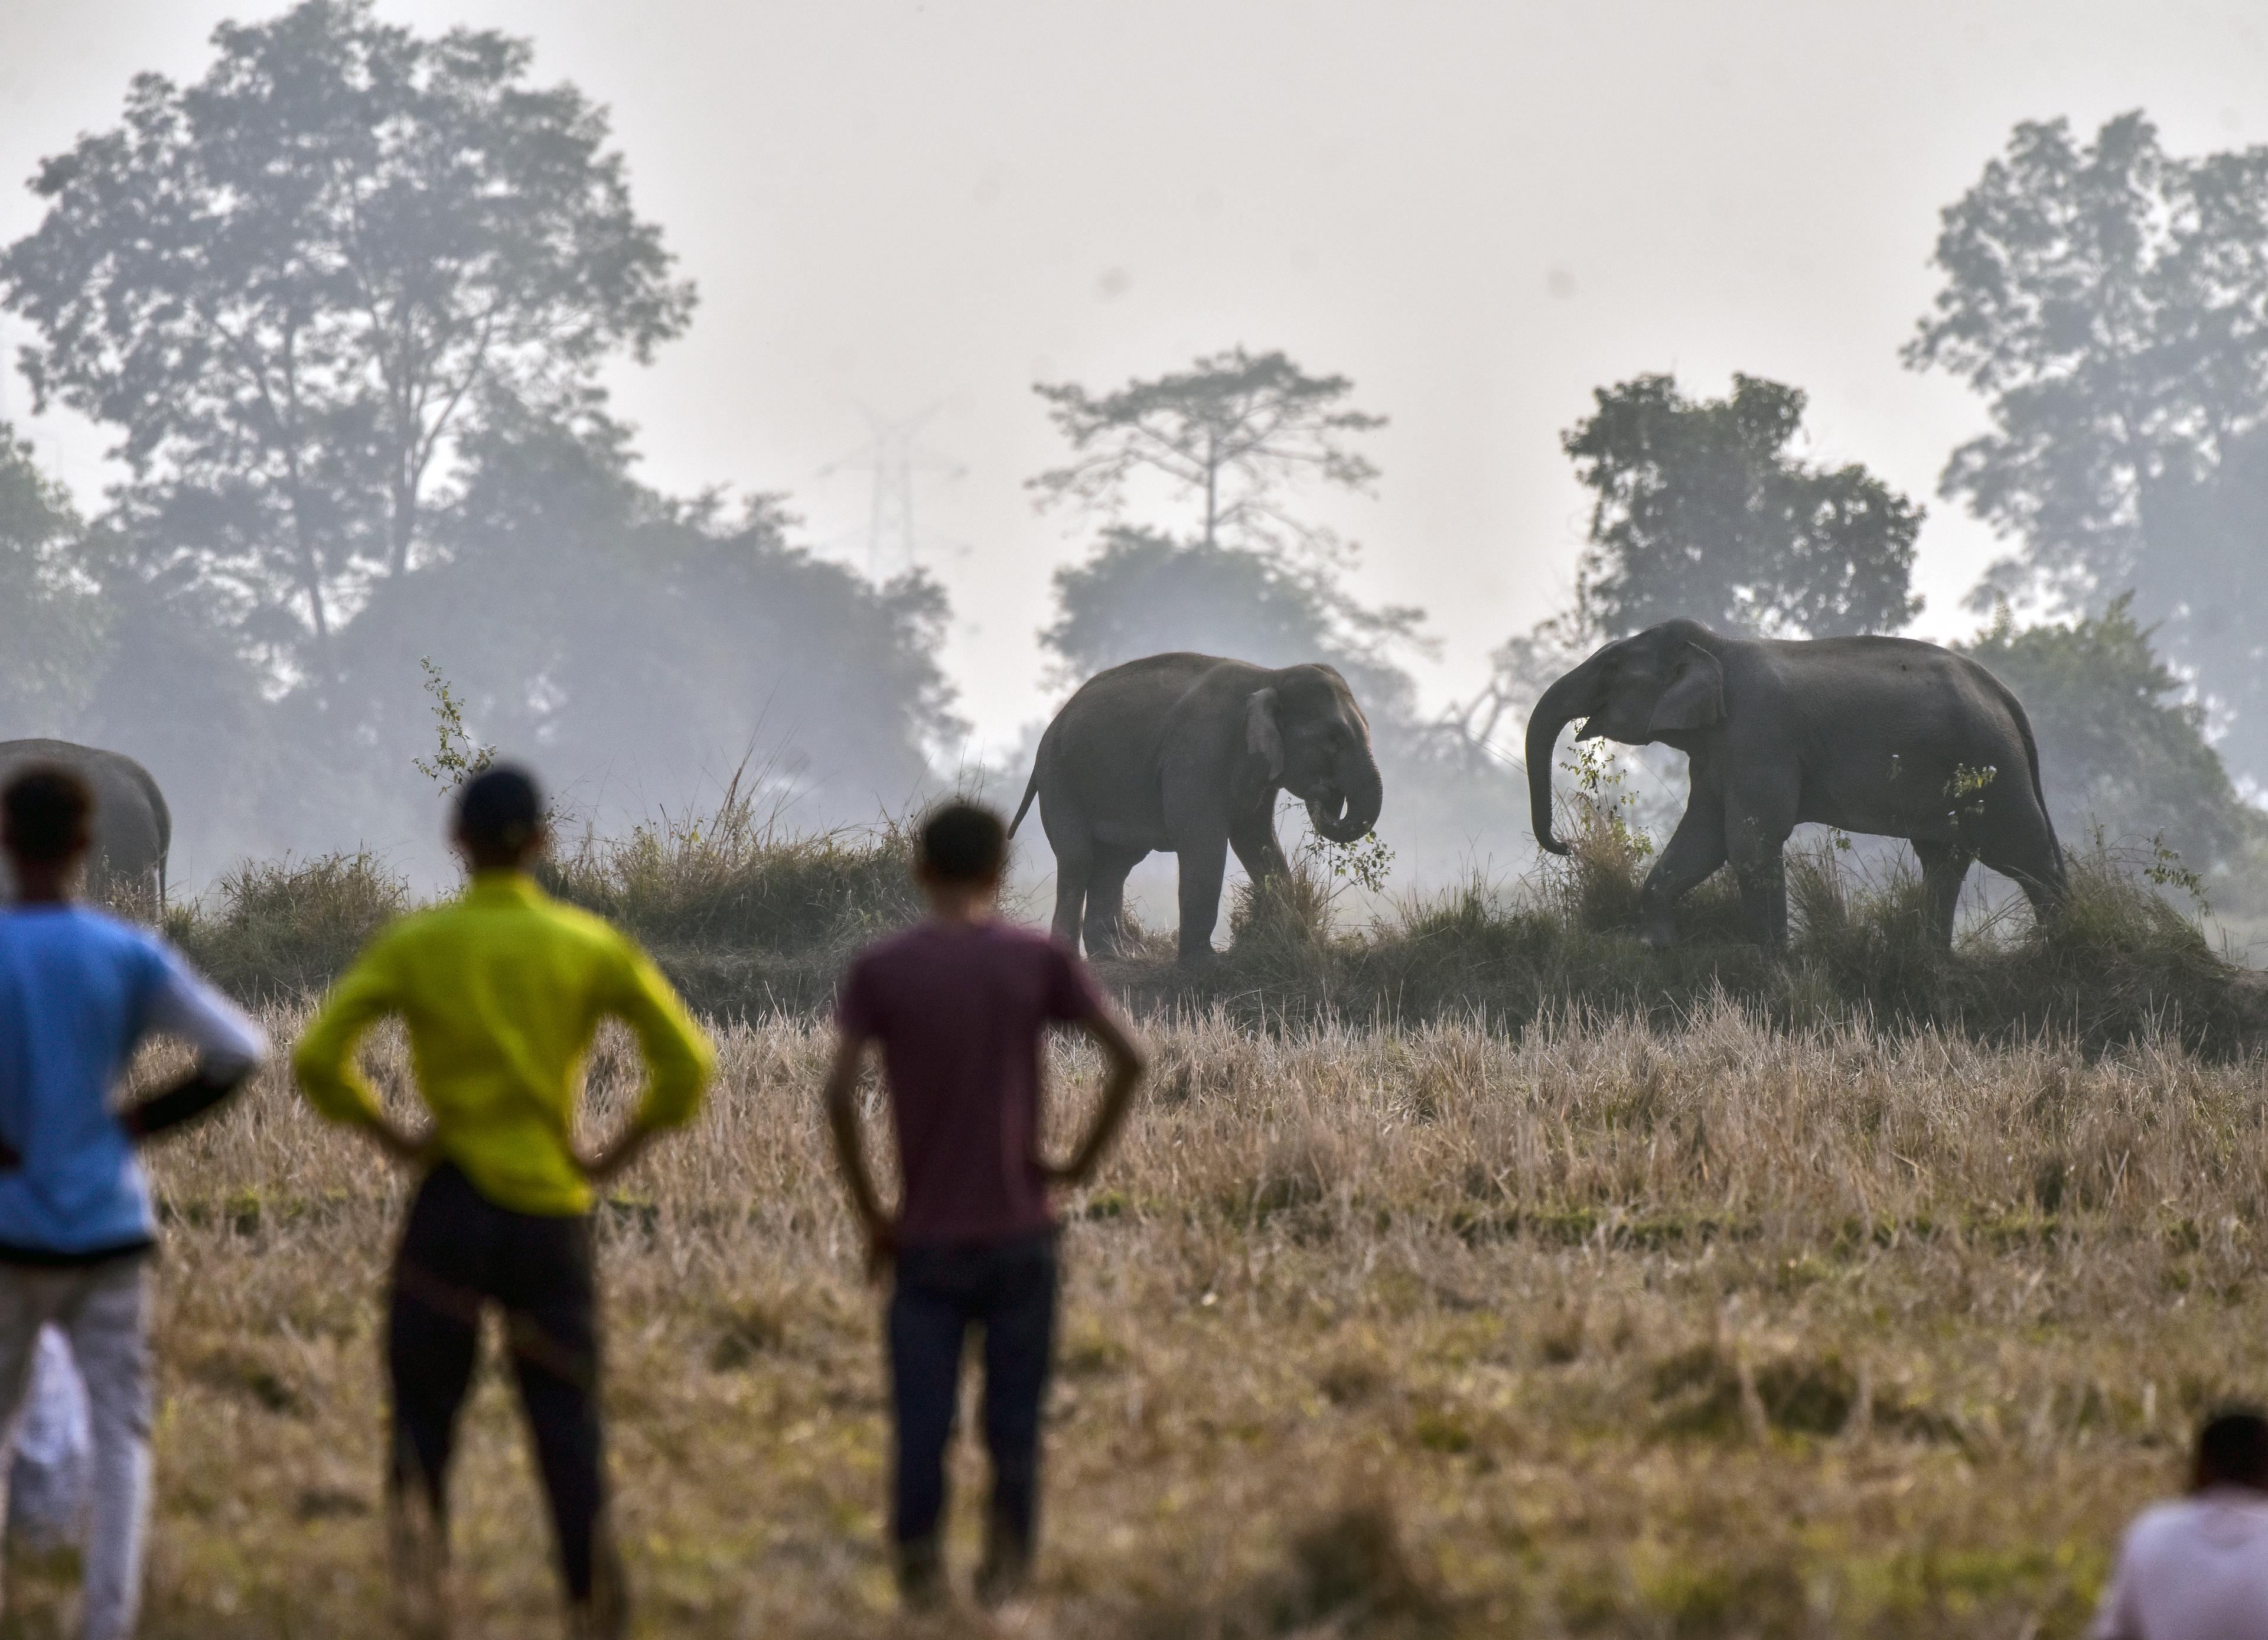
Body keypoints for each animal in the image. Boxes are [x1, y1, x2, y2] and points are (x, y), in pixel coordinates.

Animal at [1010, 654, 1385, 964]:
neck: (1271, 677)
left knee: (1117, 863)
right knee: (1078, 859)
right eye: (1333, 739)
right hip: (1059, 779)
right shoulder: (1199, 750)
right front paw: (1204, 964)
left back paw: (1120, 956)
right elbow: (1202, 841)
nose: (1327, 792)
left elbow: (1256, 839)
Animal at [1525, 620, 2065, 949]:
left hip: (1991, 763)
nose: (1567, 845)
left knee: (2023, 851)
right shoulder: (1719, 748)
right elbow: (1703, 837)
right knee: (1944, 857)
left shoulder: (1759, 733)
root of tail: (2006, 697)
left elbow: (1748, 839)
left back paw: (2058, 945)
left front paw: (1771, 960)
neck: (1715, 647)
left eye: (1612, 667)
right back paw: (1932, 958)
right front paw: (1658, 945)